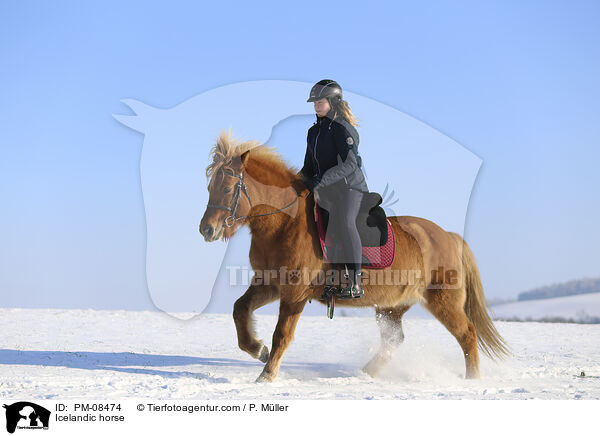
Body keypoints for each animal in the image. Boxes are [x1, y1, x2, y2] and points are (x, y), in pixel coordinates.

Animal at [199, 129, 508, 382]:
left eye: (227, 188)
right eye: (209, 188)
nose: (206, 229)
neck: (285, 223)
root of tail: (449, 236)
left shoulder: (295, 293)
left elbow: (282, 334)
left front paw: (267, 374)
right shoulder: (271, 284)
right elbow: (240, 309)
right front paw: (257, 350)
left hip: (443, 300)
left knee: (467, 334)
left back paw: (472, 380)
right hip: (392, 307)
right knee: (394, 341)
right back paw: (365, 374)